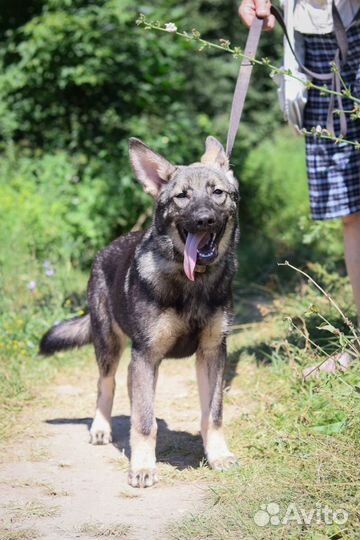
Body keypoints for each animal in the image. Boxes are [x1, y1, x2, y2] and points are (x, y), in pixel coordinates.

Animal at [40, 134, 239, 486]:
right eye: (182, 197)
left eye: (218, 193)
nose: (204, 219)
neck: (192, 284)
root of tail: (105, 250)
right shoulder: (147, 355)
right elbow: (145, 423)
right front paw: (143, 467)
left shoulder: (213, 353)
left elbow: (213, 414)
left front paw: (217, 455)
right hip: (110, 346)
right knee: (107, 385)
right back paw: (101, 429)